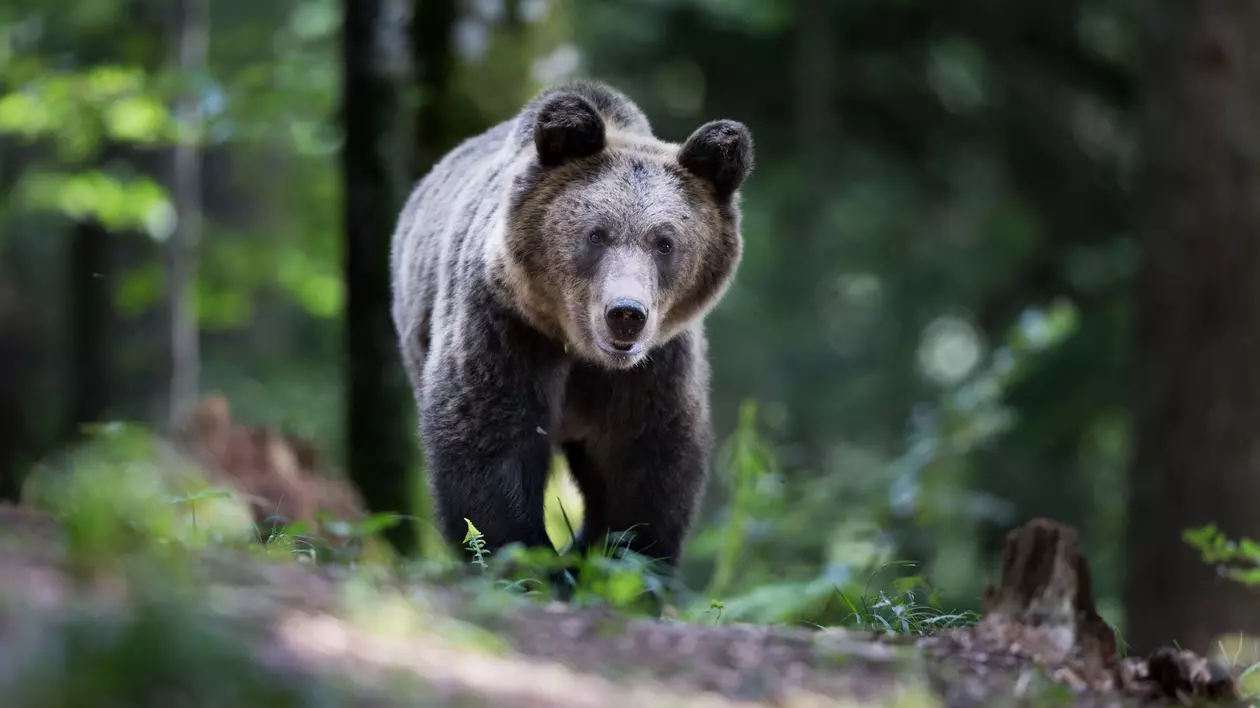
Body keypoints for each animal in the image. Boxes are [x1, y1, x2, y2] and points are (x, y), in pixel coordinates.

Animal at [388, 79, 750, 569]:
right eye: (596, 234)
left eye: (665, 242)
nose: (626, 314)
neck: (580, 349)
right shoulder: (507, 328)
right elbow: (487, 442)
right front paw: (529, 562)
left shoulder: (653, 368)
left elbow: (645, 465)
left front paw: (622, 559)